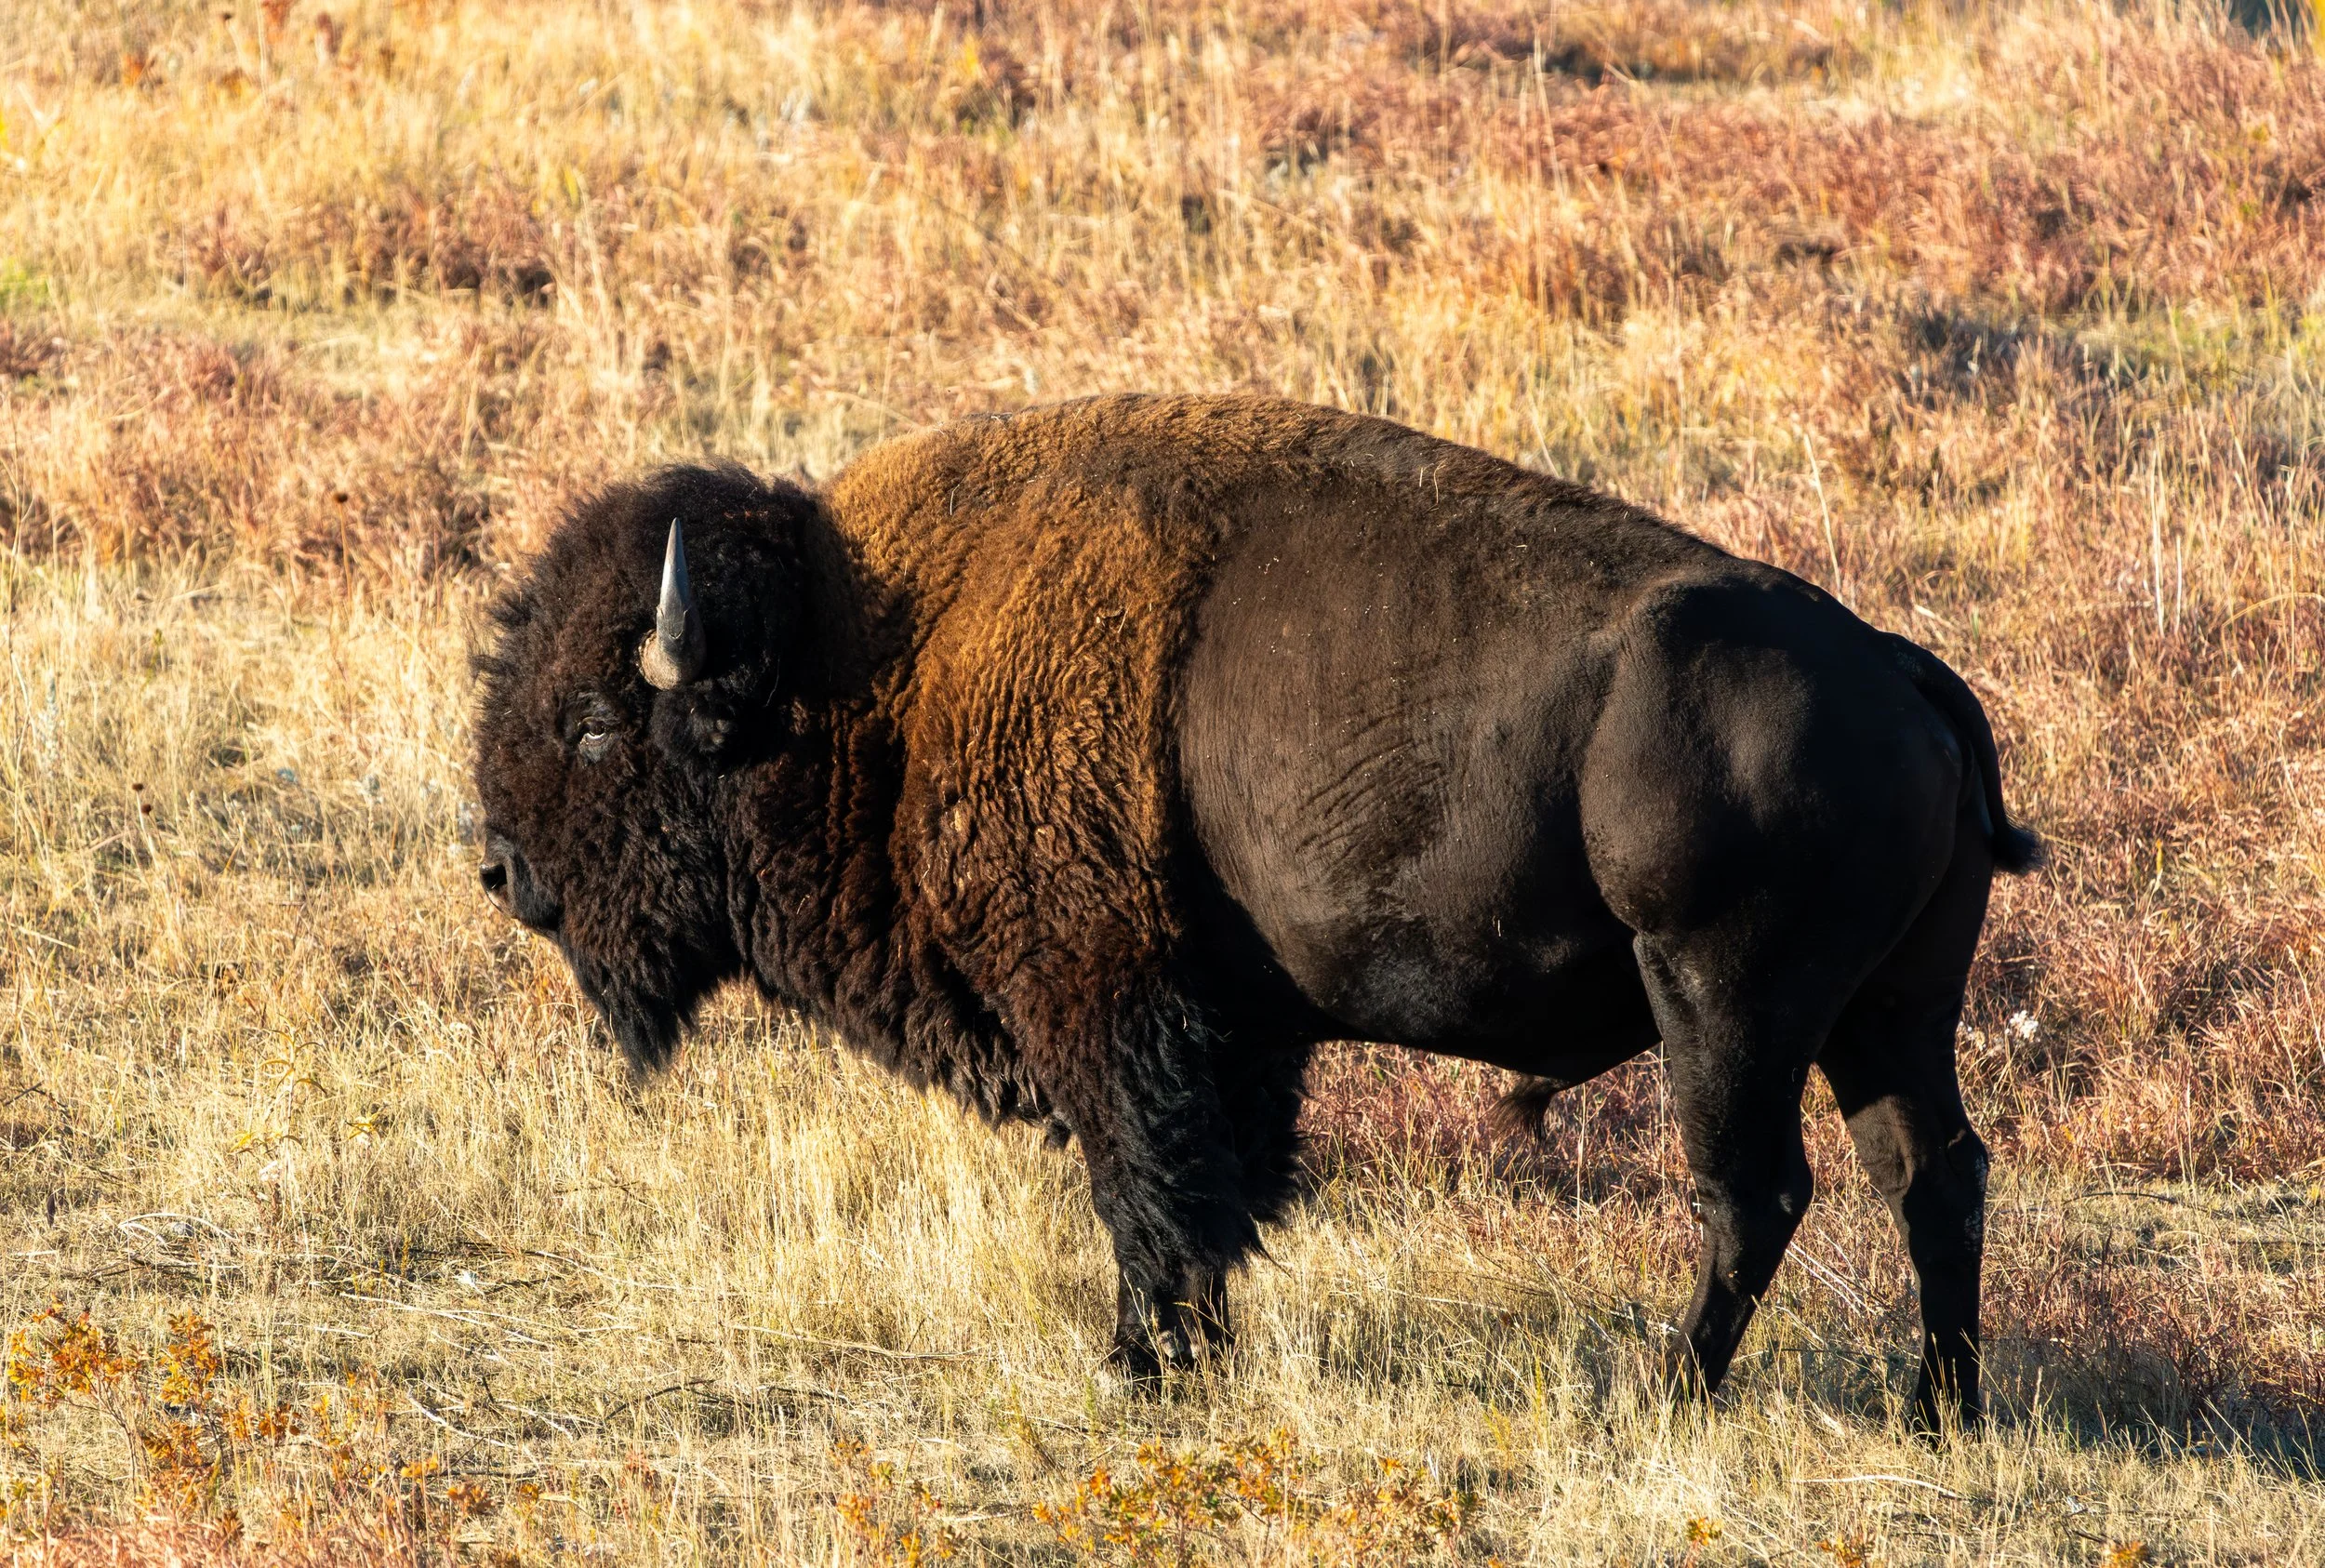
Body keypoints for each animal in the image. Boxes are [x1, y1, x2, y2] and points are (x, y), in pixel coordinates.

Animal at [472, 394, 2039, 1427]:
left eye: (599, 725)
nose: (501, 869)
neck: (869, 658)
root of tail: (1897, 669)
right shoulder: (1233, 1028)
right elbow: (1215, 1187)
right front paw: (1191, 1347)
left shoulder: (1105, 1005)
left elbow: (1148, 1182)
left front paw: (1140, 1361)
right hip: (1890, 1008)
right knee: (1934, 1171)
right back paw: (1940, 1407)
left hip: (1727, 1001)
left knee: (1755, 1190)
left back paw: (1665, 1396)